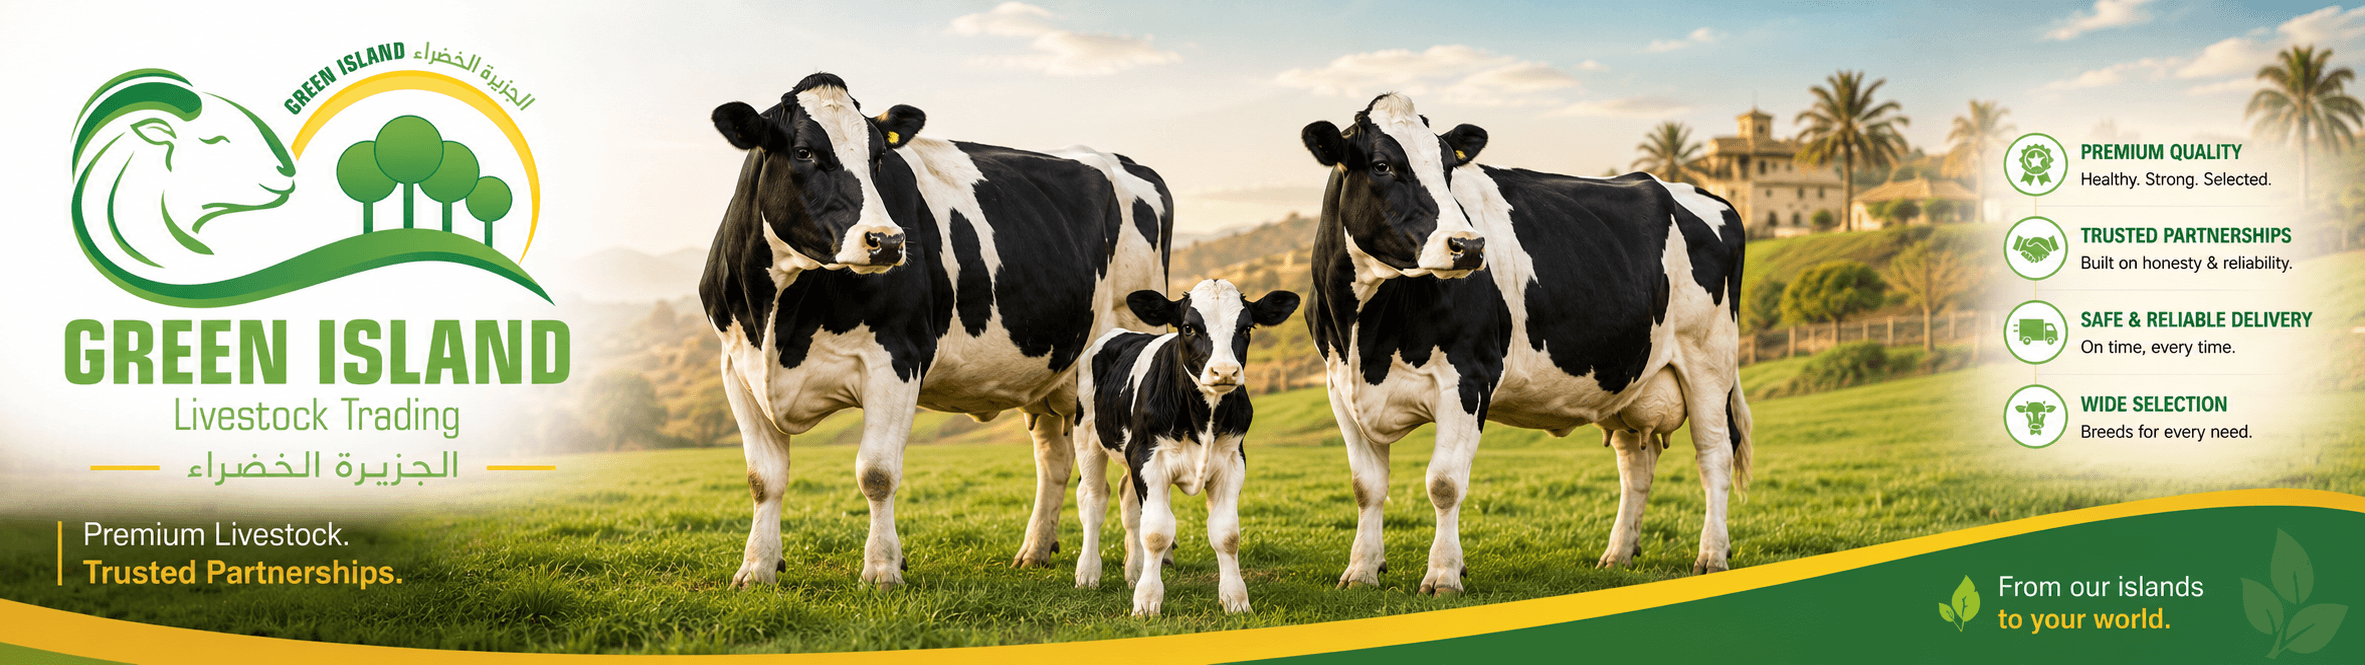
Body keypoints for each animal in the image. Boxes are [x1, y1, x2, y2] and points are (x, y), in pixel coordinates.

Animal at [701, 73, 1171, 589]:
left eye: (878, 157)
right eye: (804, 151)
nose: (887, 241)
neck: (778, 317)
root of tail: (1126, 161)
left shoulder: (897, 357)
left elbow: (876, 473)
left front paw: (882, 569)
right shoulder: (737, 366)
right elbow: (763, 479)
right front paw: (756, 568)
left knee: (1126, 478)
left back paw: (1135, 568)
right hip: (1052, 372)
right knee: (1054, 459)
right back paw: (1035, 550)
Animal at [1071, 280, 1299, 616]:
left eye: (1246, 328)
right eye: (1189, 327)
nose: (1225, 371)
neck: (1203, 418)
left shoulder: (1232, 462)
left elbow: (1227, 534)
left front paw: (1235, 598)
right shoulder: (1149, 459)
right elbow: (1157, 532)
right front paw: (1147, 601)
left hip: (1129, 455)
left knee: (1129, 501)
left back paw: (1134, 572)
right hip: (1087, 436)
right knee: (1093, 500)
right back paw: (1088, 573)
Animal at [1296, 93, 1754, 595]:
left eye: (1449, 167)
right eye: (1381, 166)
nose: (1468, 245)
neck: (1366, 334)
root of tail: (1704, 194)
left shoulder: (1468, 378)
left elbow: (1444, 483)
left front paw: (1443, 575)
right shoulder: (1340, 386)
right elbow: (1366, 487)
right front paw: (1361, 571)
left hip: (1710, 361)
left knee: (1715, 454)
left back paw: (1712, 555)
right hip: (1630, 377)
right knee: (1636, 463)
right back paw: (1618, 554)